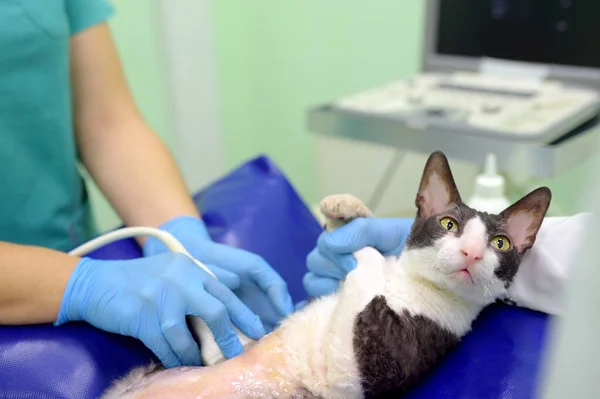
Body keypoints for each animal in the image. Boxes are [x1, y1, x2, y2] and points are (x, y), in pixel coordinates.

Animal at [99, 152, 552, 398]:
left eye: (500, 244)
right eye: (448, 224)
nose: (472, 252)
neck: (408, 284)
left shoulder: (354, 371)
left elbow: (366, 271)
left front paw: (363, 249)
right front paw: (346, 212)